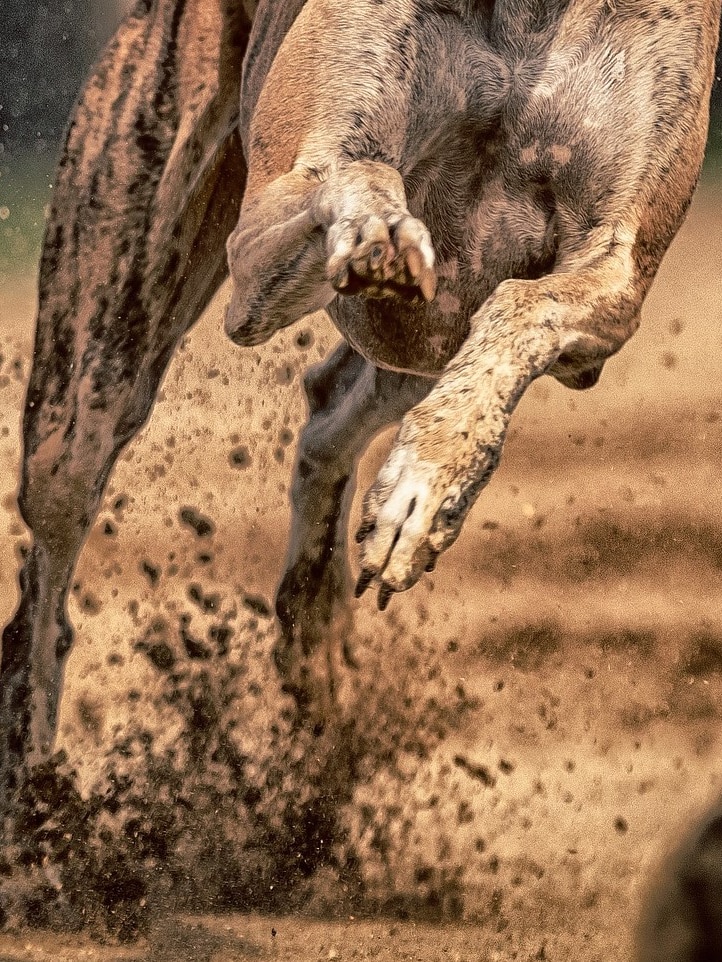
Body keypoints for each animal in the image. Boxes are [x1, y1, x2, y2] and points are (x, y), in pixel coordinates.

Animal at [1, 0, 719, 817]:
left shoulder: (610, 269)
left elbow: (520, 312)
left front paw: (425, 491)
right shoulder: (267, 239)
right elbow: (354, 175)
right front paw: (377, 222)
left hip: (415, 350)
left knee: (328, 413)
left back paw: (318, 627)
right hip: (98, 358)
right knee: (45, 584)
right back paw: (36, 795)